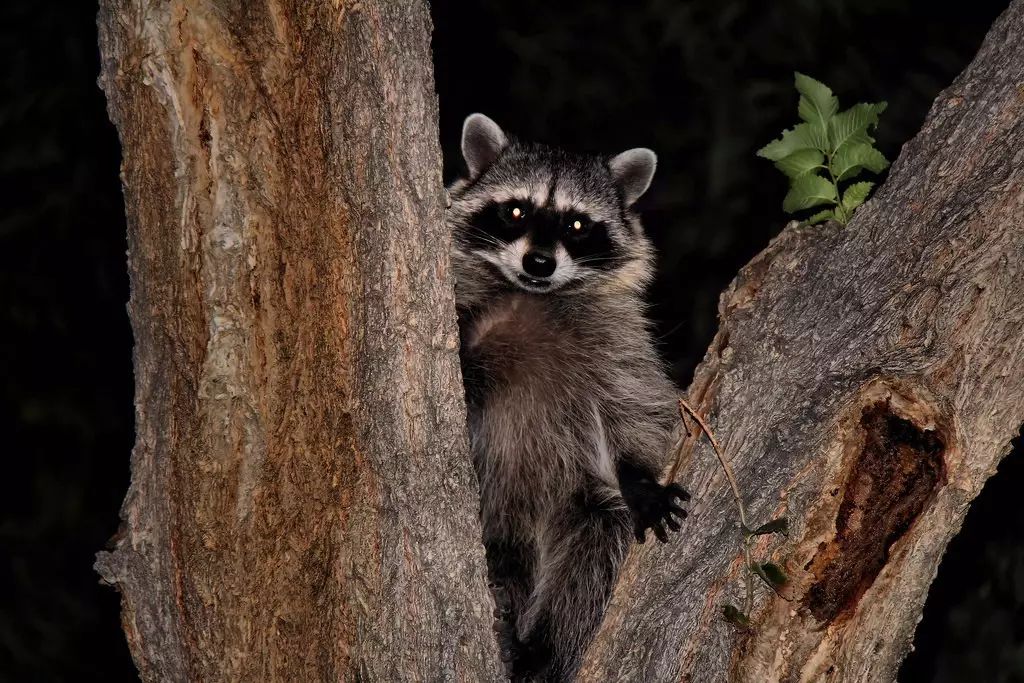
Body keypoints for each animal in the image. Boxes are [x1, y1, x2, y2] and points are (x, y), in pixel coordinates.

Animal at [448, 114, 688, 679]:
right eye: (516, 210)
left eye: (577, 225)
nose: (539, 262)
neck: (530, 295)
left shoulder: (616, 339)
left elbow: (637, 405)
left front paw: (640, 476)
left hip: (575, 501)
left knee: (596, 552)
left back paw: (544, 647)